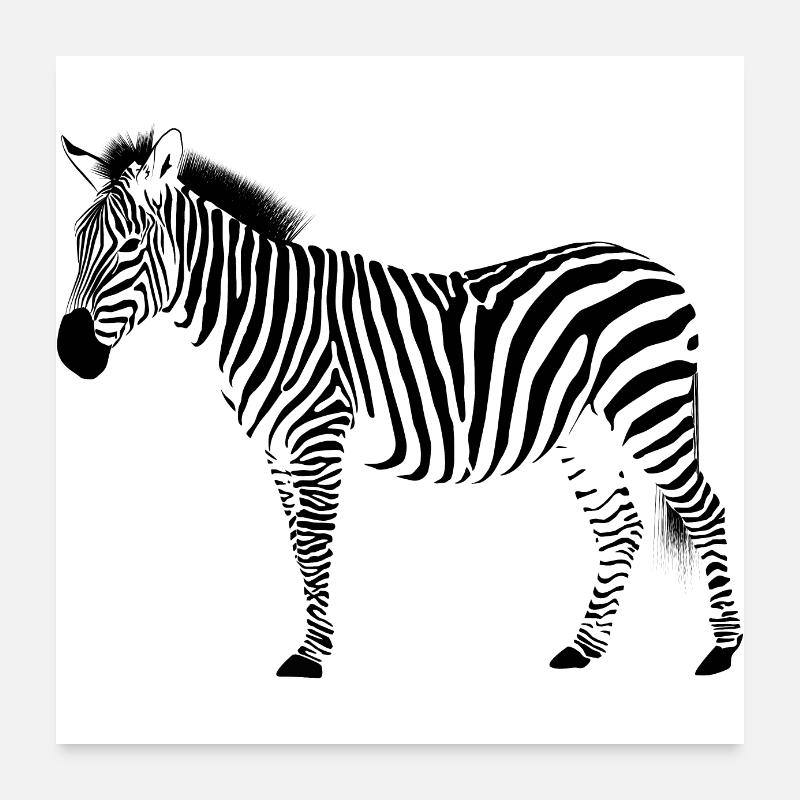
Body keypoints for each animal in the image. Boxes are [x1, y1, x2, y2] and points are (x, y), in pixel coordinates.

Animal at [58, 128, 743, 679]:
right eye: (75, 240)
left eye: (131, 245)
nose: (71, 354)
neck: (261, 314)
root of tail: (658, 267)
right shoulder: (278, 453)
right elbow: (298, 551)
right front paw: (312, 646)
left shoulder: (318, 437)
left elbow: (316, 547)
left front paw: (311, 659)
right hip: (585, 430)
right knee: (620, 526)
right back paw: (583, 650)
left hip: (651, 407)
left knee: (704, 510)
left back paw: (721, 651)